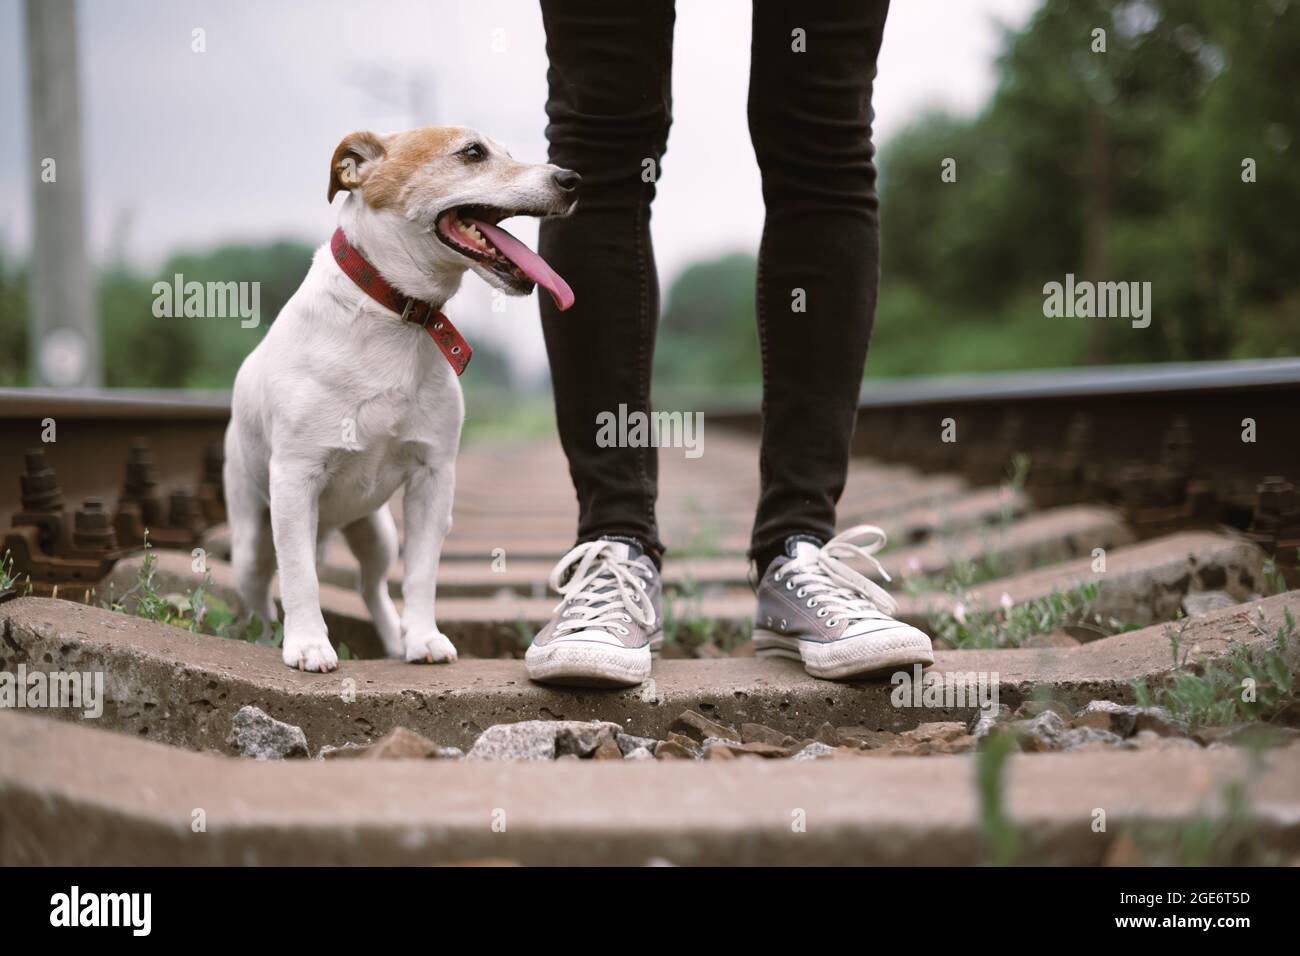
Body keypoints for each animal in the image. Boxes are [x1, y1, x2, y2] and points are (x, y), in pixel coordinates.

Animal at [223, 128, 579, 671]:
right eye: (472, 152)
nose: (571, 178)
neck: (396, 313)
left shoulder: (434, 478)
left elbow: (421, 576)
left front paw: (423, 638)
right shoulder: (294, 479)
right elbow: (300, 577)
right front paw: (306, 643)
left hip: (376, 534)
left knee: (371, 587)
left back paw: (394, 638)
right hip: (251, 542)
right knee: (263, 590)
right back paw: (267, 637)